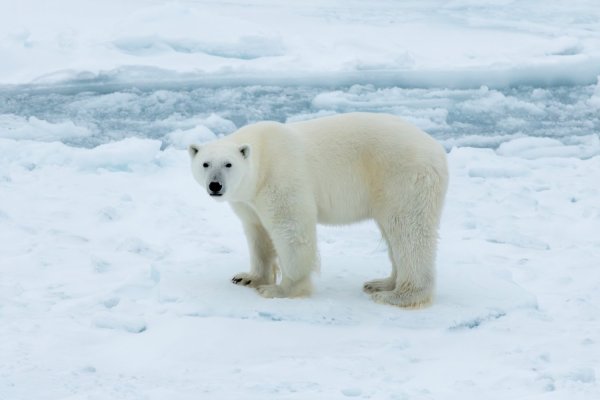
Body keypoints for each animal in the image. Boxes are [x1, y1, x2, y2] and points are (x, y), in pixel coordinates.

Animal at [190, 112, 448, 310]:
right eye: (205, 164)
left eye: (228, 164)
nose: (215, 185)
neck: (262, 154)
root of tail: (437, 149)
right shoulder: (248, 200)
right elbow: (257, 233)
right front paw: (247, 277)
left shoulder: (280, 177)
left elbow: (291, 229)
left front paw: (280, 290)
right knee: (394, 234)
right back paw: (381, 283)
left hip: (403, 177)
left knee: (408, 231)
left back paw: (397, 295)